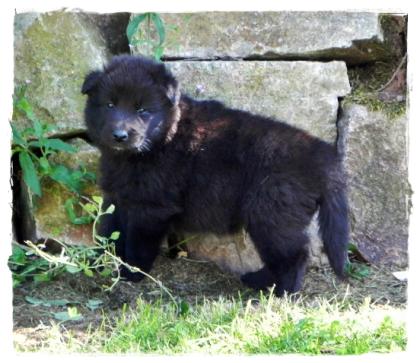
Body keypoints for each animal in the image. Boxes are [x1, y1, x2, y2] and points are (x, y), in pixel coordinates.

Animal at [81, 55, 348, 298]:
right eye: (110, 105)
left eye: (143, 110)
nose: (119, 135)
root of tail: (324, 155)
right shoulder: (116, 197)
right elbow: (108, 231)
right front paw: (99, 262)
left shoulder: (151, 207)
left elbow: (137, 243)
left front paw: (131, 272)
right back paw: (259, 281)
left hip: (273, 216)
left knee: (294, 256)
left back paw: (282, 292)